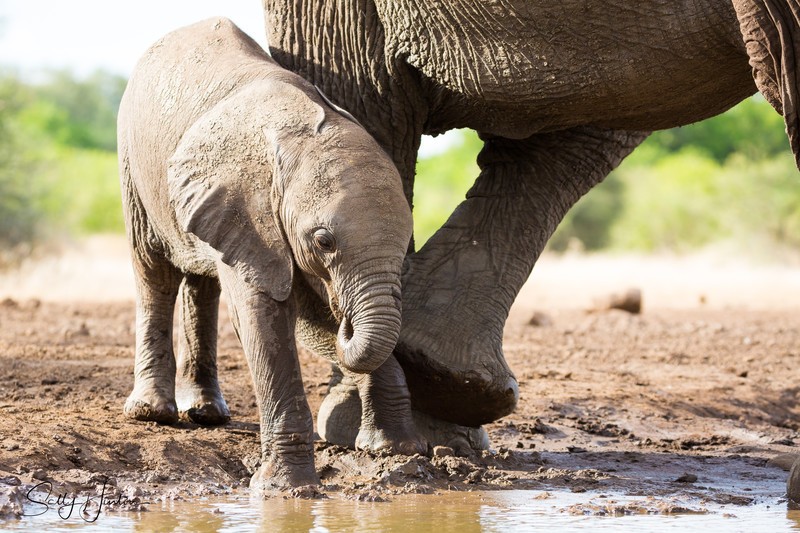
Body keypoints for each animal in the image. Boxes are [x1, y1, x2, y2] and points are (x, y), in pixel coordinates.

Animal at [116, 17, 423, 489]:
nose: (345, 317)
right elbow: (264, 316)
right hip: (133, 162)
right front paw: (284, 489)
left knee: (202, 283)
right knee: (155, 273)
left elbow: (307, 314)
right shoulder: (251, 211)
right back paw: (153, 414)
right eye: (324, 242)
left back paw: (206, 413)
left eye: (406, 245)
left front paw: (393, 449)